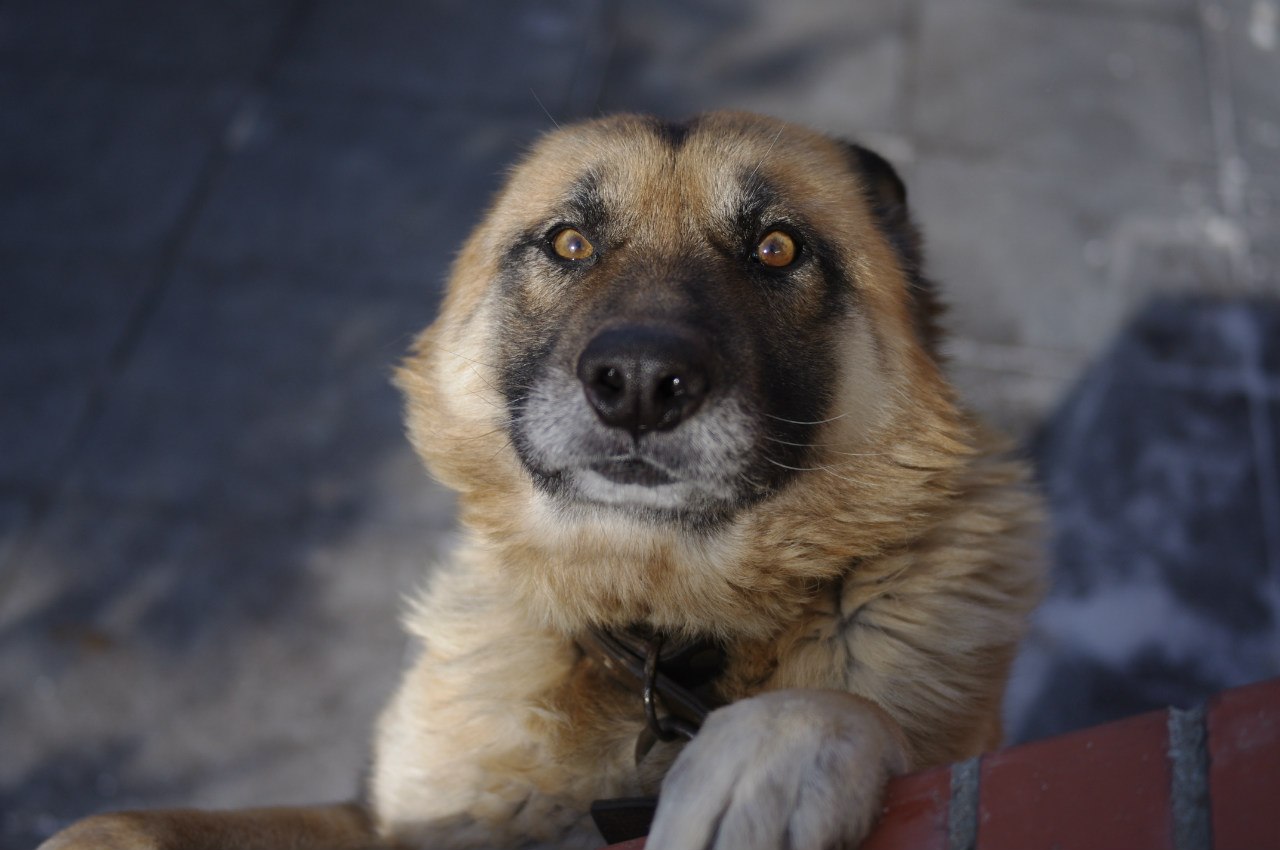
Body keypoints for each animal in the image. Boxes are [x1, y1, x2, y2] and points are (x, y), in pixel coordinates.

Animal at [42, 112, 1043, 850]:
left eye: (777, 251)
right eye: (569, 244)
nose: (639, 383)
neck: (659, 632)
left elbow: (838, 707)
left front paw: (771, 755)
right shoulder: (389, 822)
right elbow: (119, 821)